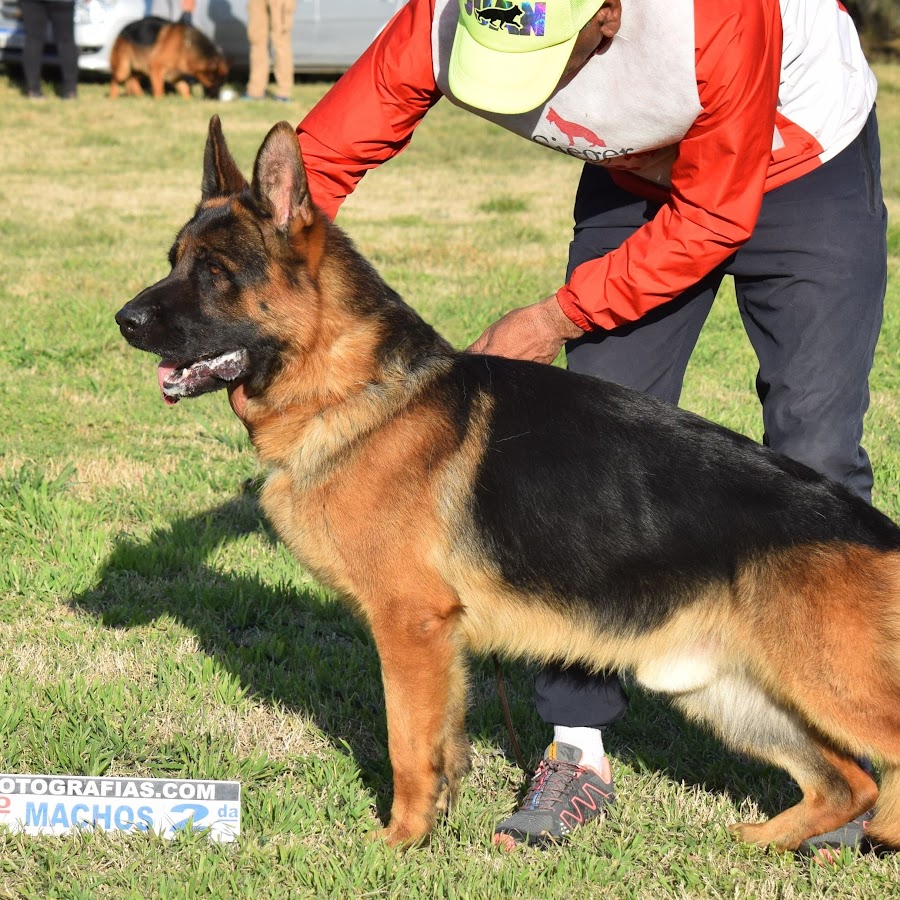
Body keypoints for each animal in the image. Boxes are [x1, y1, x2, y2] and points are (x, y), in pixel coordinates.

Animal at [114, 118, 900, 852]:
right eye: (174, 262)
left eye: (215, 271)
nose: (123, 320)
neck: (355, 388)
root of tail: (876, 529)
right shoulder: (439, 644)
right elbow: (442, 748)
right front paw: (431, 827)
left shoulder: (411, 627)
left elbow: (407, 747)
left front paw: (396, 845)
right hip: (730, 693)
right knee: (848, 783)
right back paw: (762, 843)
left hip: (823, 688)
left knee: (868, 774)